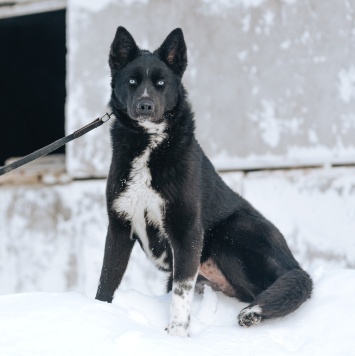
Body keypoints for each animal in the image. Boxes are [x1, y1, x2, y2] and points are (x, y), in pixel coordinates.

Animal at [96, 25, 312, 336]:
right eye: (132, 81)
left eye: (161, 83)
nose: (145, 105)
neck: (149, 145)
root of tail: (296, 264)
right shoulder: (119, 227)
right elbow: (107, 279)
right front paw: (97, 313)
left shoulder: (186, 231)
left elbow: (181, 292)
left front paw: (177, 334)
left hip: (231, 233)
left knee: (271, 288)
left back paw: (255, 312)